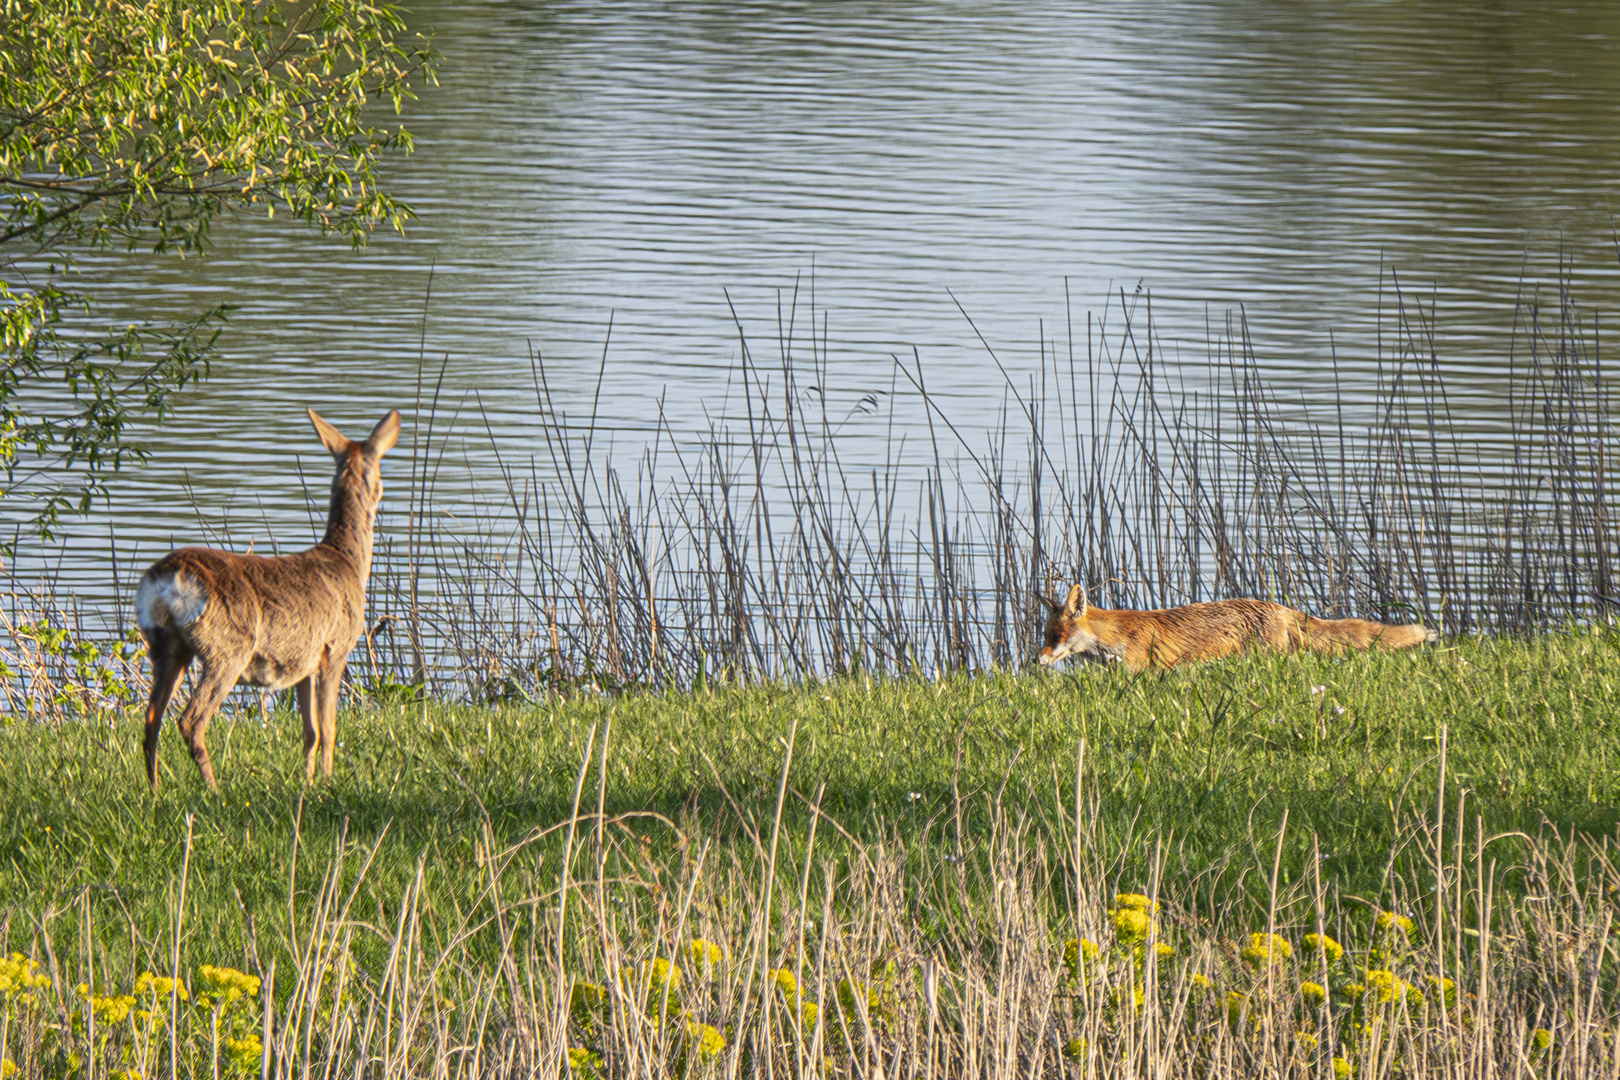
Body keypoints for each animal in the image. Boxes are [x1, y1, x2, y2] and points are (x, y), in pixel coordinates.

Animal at [139, 409, 405, 790]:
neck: (348, 562)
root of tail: (168, 577)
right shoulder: (336, 646)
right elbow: (329, 728)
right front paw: (327, 781)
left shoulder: (305, 661)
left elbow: (309, 732)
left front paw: (308, 782)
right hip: (226, 648)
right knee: (190, 720)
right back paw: (213, 790)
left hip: (166, 645)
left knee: (151, 721)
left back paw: (155, 790)